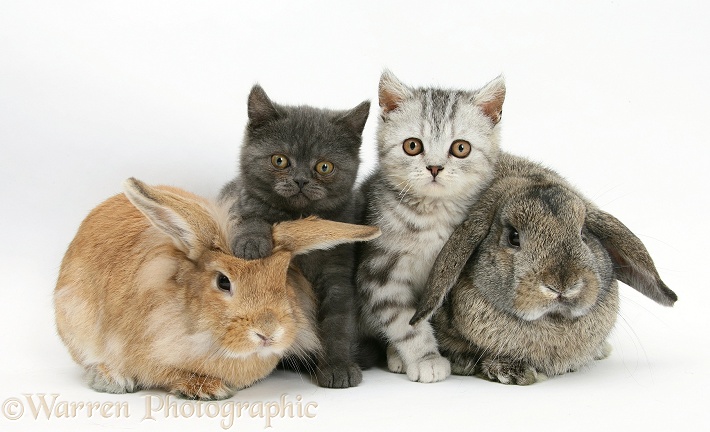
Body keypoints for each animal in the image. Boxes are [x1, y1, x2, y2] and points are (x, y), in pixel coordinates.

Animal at [220, 84, 370, 388]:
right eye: (280, 160)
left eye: (324, 166)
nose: (301, 180)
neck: (298, 216)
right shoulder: (240, 199)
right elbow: (250, 215)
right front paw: (252, 244)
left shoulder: (338, 271)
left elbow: (338, 322)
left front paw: (338, 366)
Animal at [356, 69, 506, 384]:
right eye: (412, 145)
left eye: (460, 148)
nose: (435, 167)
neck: (431, 215)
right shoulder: (380, 271)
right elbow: (404, 321)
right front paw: (425, 358)